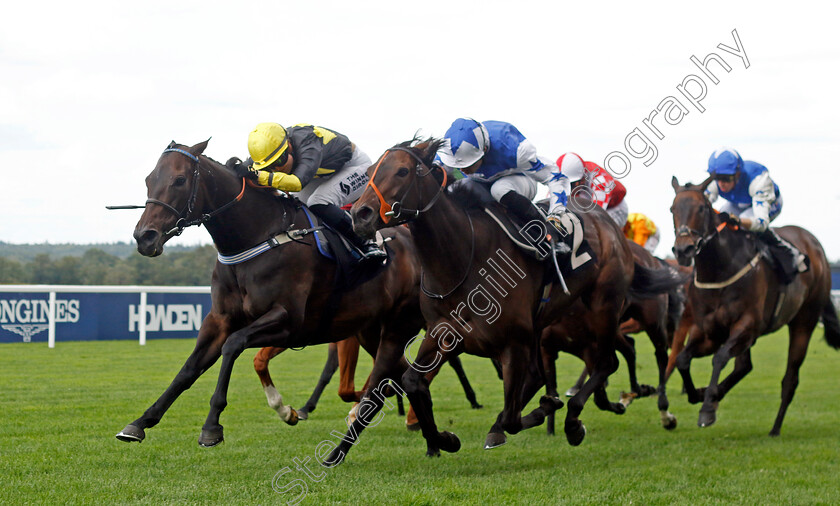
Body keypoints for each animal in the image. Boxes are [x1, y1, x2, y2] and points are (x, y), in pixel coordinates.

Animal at [114, 138, 424, 446]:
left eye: (179, 180)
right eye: (149, 179)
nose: (145, 236)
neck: (257, 237)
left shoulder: (288, 321)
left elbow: (233, 345)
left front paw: (212, 425)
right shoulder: (219, 320)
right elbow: (189, 369)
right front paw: (141, 421)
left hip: (399, 323)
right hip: (370, 329)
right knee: (397, 370)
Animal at [338, 137, 672, 458]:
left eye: (403, 171)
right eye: (370, 172)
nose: (360, 215)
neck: (464, 260)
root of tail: (610, 226)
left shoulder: (514, 342)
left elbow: (512, 418)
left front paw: (538, 412)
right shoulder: (443, 332)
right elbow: (412, 382)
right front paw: (445, 439)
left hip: (604, 306)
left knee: (606, 362)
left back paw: (575, 421)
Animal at [668, 176, 840, 432]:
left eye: (701, 208)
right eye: (672, 209)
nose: (683, 249)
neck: (720, 270)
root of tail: (816, 247)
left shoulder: (747, 324)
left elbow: (719, 358)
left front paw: (707, 407)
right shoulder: (708, 331)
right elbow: (682, 359)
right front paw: (699, 394)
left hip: (804, 323)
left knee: (790, 378)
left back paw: (775, 428)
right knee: (744, 366)